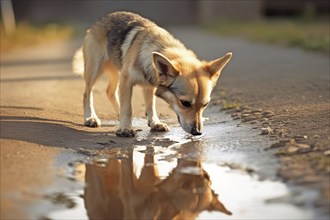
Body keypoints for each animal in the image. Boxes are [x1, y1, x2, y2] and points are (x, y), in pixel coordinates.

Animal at [72, 11, 232, 138]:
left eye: (205, 104)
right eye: (185, 103)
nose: (198, 132)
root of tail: (100, 20)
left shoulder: (149, 85)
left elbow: (151, 105)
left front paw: (155, 123)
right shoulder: (127, 81)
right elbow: (128, 108)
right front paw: (125, 128)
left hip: (117, 74)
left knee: (110, 92)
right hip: (95, 70)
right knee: (87, 94)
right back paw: (90, 118)